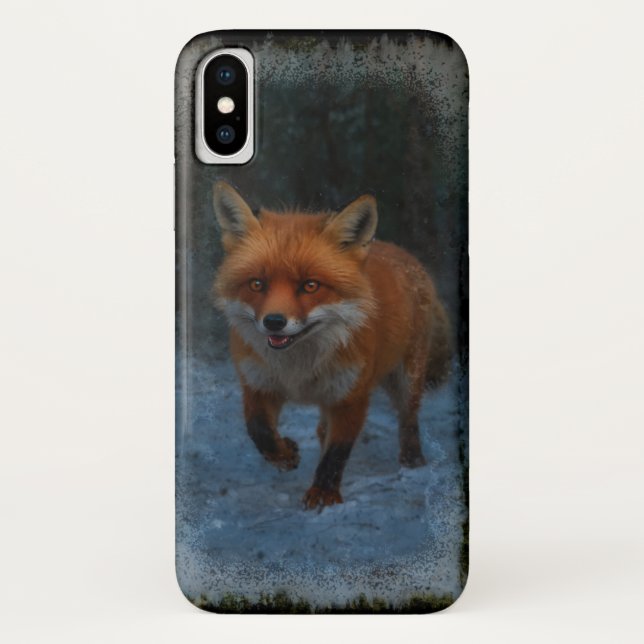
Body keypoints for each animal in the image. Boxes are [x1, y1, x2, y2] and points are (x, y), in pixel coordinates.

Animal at [212, 181, 453, 510]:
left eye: (310, 285)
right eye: (257, 284)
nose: (274, 322)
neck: (298, 367)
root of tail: (400, 252)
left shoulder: (351, 396)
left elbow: (336, 453)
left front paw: (324, 494)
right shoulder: (259, 385)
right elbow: (259, 430)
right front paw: (285, 455)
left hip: (407, 378)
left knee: (408, 419)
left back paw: (413, 461)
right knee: (322, 426)